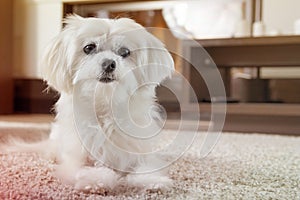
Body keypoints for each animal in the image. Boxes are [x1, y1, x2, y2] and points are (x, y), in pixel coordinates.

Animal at [36, 14, 175, 193]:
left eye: (125, 52)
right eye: (89, 48)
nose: (109, 63)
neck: (105, 105)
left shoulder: (140, 150)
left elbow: (147, 165)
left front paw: (152, 180)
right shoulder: (76, 158)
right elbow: (87, 168)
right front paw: (96, 180)